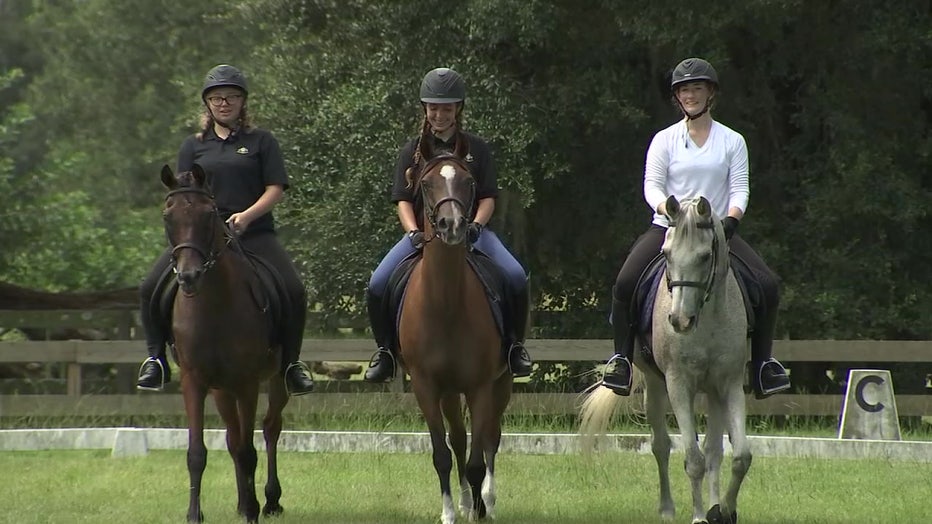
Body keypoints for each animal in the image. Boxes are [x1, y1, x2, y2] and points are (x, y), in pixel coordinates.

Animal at [161, 165, 288, 524]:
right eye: (167, 216)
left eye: (208, 215)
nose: (188, 277)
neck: (214, 307)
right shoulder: (194, 381)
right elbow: (197, 452)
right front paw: (195, 514)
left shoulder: (246, 383)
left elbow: (248, 449)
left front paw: (253, 511)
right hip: (221, 390)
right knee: (233, 437)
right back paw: (244, 500)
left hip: (275, 379)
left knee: (270, 428)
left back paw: (269, 501)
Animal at [396, 145, 512, 520]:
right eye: (426, 184)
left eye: (469, 181)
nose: (453, 225)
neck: (445, 303)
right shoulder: (426, 387)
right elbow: (442, 453)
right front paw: (449, 512)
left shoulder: (480, 386)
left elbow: (478, 458)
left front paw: (479, 510)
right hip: (448, 392)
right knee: (459, 438)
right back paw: (463, 502)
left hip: (502, 383)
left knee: (490, 438)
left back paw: (487, 501)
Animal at [580, 195, 752, 524]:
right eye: (666, 254)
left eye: (704, 257)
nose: (679, 321)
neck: (708, 319)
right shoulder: (678, 384)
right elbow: (693, 459)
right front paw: (698, 517)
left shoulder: (730, 384)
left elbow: (739, 457)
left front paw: (724, 511)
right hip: (655, 384)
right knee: (661, 445)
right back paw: (667, 509)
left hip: (712, 392)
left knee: (714, 451)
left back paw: (713, 505)